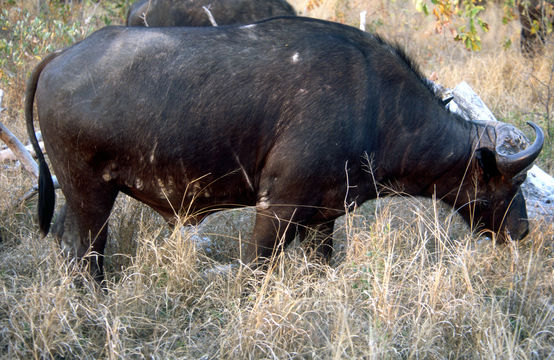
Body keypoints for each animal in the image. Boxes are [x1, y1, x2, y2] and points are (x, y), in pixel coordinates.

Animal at [27, 17, 544, 282]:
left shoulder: (323, 218)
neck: (376, 105)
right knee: (88, 255)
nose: (521, 231)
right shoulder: (277, 207)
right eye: (514, 180)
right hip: (92, 196)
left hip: (78, 198)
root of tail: (61, 56)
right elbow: (257, 269)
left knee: (67, 245)